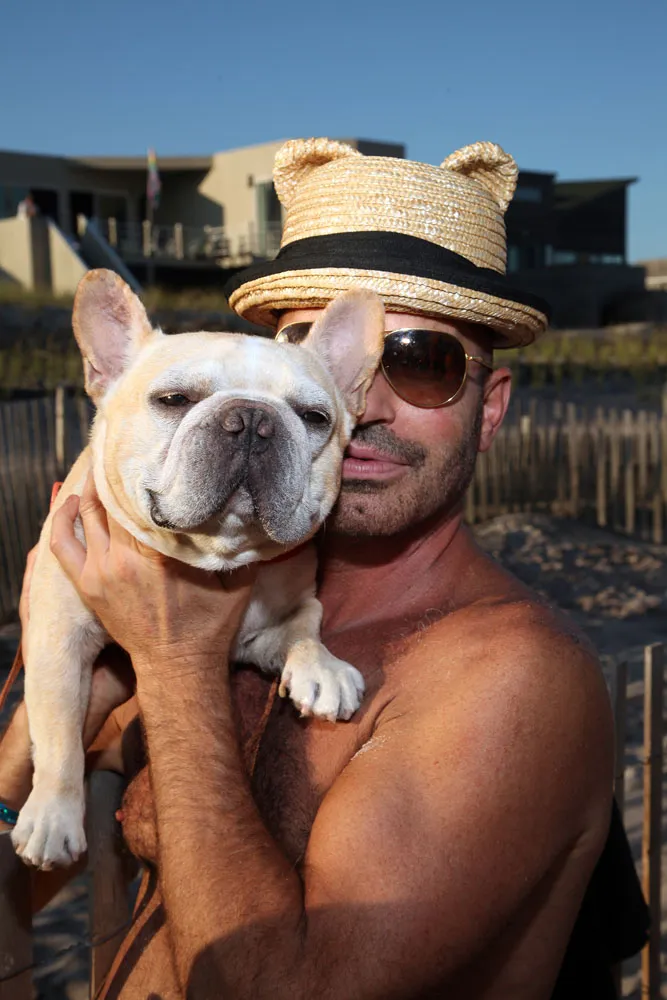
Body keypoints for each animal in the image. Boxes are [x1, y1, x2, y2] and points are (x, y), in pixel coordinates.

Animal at [12, 269, 385, 870]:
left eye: (314, 418)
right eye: (173, 400)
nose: (252, 419)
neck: (217, 555)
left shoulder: (268, 626)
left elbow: (306, 625)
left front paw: (321, 668)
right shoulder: (56, 638)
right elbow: (58, 729)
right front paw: (52, 817)